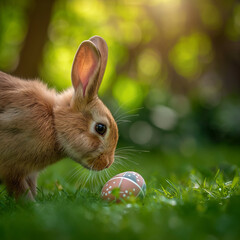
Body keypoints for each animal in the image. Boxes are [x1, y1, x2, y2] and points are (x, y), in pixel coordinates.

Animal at [0, 36, 119, 201]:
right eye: (100, 128)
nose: (107, 163)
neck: (53, 123)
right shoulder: (12, 169)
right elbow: (21, 190)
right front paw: (32, 204)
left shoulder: (29, 174)